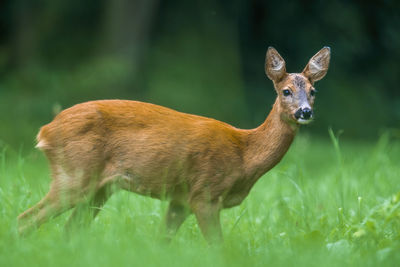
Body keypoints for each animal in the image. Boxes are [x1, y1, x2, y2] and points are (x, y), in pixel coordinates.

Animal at [18, 47, 332, 244]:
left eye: (313, 91)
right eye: (286, 91)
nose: (305, 112)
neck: (244, 154)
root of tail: (45, 131)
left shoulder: (180, 200)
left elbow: (162, 241)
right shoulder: (205, 193)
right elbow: (219, 247)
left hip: (99, 188)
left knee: (68, 230)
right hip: (75, 174)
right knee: (26, 219)